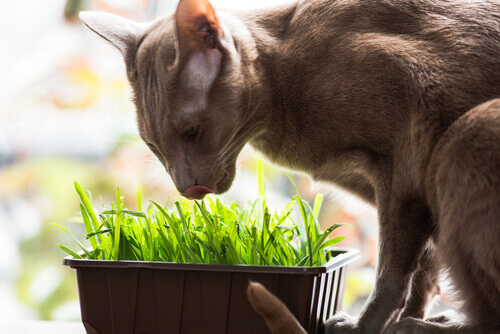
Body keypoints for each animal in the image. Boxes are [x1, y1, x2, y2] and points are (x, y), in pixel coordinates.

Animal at [80, 0, 500, 332]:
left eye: (192, 132)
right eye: (153, 145)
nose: (188, 189)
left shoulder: (406, 156)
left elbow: (392, 271)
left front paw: (366, 326)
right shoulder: (400, 192)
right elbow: (422, 269)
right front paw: (398, 319)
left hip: (464, 138)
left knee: (487, 317)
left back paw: (433, 327)